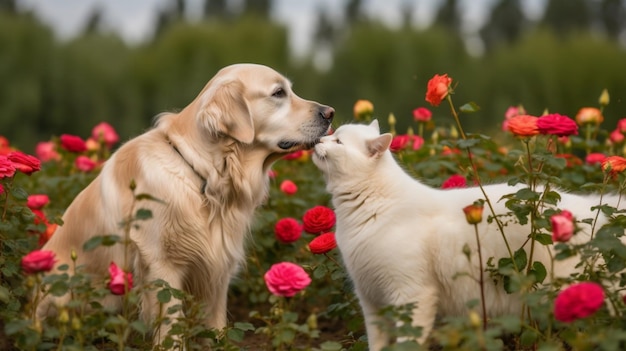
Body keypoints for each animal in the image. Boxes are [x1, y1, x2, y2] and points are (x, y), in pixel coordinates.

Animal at [36, 63, 334, 346]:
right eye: (278, 93)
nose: (330, 112)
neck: (206, 175)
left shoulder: (219, 263)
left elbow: (215, 321)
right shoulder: (161, 264)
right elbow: (170, 326)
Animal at [310, 120, 616, 350]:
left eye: (338, 142)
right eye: (332, 135)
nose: (319, 140)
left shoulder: (411, 294)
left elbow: (409, 340)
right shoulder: (371, 300)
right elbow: (378, 343)